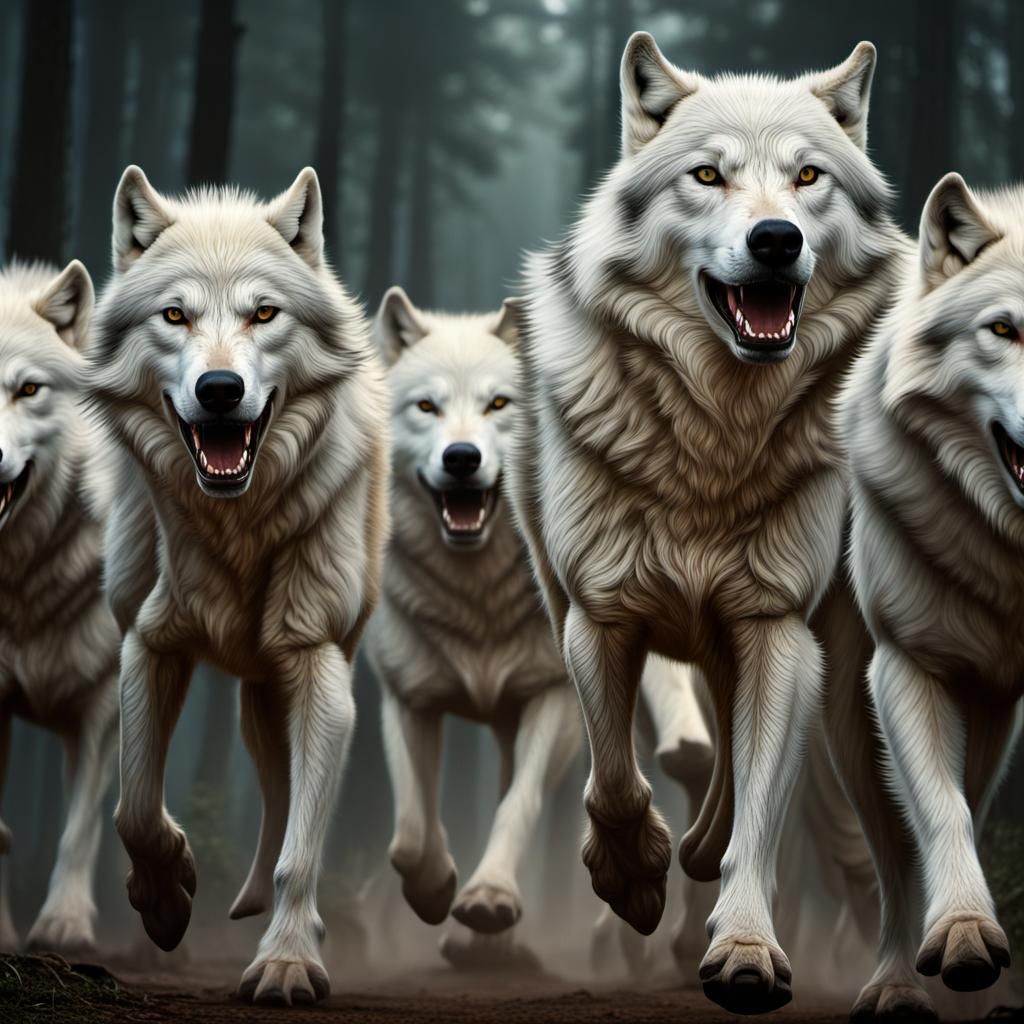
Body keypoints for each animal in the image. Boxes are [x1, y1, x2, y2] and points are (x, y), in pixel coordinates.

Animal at [87, 166, 390, 1005]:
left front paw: (286, 962)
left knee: (287, 806)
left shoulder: (318, 662)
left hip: (278, 689)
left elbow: (301, 850)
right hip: (251, 696)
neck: (237, 523)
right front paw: (164, 898)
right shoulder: (147, 642)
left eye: (263, 312)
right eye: (174, 315)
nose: (220, 388)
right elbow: (133, 809)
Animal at [364, 287, 581, 962]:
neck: (476, 598)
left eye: (499, 403)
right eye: (426, 406)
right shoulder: (408, 697)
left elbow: (518, 804)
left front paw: (488, 898)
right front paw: (436, 891)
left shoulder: (552, 695)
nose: (462, 458)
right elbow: (410, 830)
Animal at [508, 32, 910, 1013]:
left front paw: (744, 947)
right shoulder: (600, 614)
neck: (715, 439)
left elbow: (759, 812)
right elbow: (613, 779)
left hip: (836, 678)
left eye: (807, 177)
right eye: (706, 176)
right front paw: (634, 874)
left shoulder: (774, 625)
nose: (776, 239)